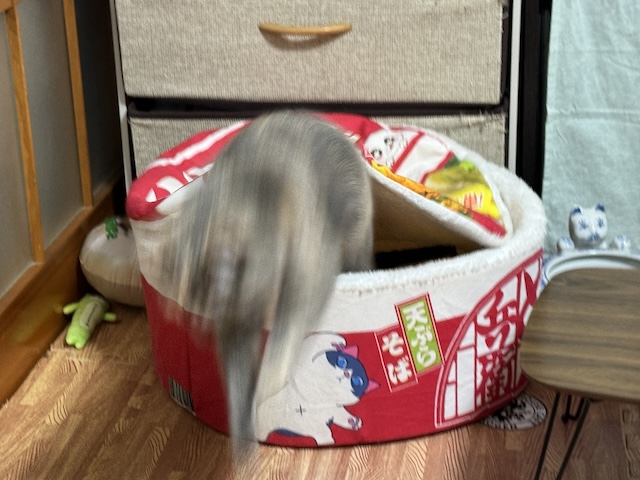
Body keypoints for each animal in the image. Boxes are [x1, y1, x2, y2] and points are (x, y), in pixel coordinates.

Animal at [161, 111, 374, 457]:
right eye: (185, 311)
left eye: (202, 307)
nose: (198, 332)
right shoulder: (238, 327)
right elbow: (237, 380)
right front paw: (243, 434)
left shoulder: (306, 275)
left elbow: (284, 339)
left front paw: (269, 386)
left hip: (357, 240)